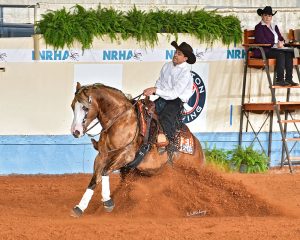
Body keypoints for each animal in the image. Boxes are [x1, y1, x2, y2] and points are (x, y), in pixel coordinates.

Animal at [70, 82, 206, 218]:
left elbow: (105, 171)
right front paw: (80, 208)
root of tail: (198, 149)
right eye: (72, 106)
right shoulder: (102, 156)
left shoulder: (126, 155)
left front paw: (108, 202)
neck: (121, 121)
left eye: (85, 108)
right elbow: (95, 179)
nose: (75, 132)